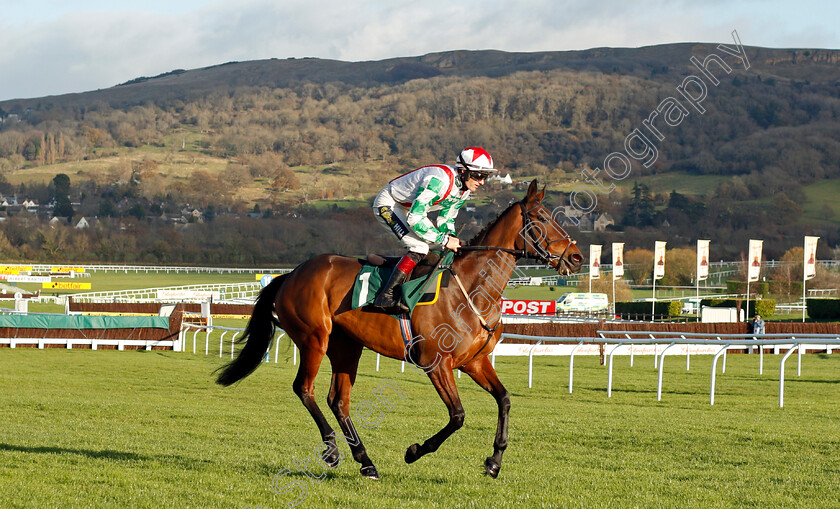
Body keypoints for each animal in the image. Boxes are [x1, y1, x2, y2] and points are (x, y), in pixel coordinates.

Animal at [217, 181, 584, 478]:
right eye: (543, 219)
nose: (577, 258)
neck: (471, 289)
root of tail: (290, 275)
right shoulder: (437, 363)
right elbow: (458, 415)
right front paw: (415, 451)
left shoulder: (474, 362)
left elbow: (504, 399)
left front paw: (494, 461)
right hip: (314, 339)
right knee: (304, 389)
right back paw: (332, 450)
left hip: (346, 347)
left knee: (338, 400)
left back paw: (366, 462)